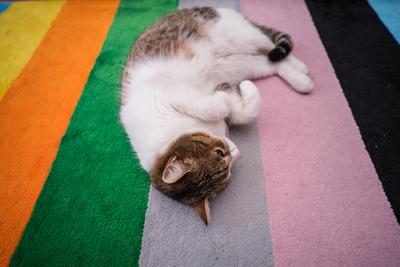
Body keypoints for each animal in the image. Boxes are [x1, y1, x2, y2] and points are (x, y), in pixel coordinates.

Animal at [119, 6, 312, 225]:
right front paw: (239, 92)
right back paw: (300, 80)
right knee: (271, 63)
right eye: (226, 171)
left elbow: (215, 107)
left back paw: (300, 67)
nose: (235, 151)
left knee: (271, 45)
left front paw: (225, 98)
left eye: (219, 152)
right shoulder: (223, 88)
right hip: (242, 64)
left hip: (242, 35)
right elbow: (239, 112)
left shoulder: (171, 92)